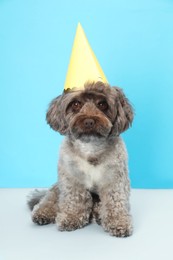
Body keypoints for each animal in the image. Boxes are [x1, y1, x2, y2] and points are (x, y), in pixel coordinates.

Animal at [28, 82, 134, 238]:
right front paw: (71, 217)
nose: (89, 121)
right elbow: (74, 200)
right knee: (49, 198)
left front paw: (118, 222)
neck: (90, 147)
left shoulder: (114, 179)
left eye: (102, 104)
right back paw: (42, 213)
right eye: (76, 104)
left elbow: (115, 202)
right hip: (57, 188)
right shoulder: (72, 179)